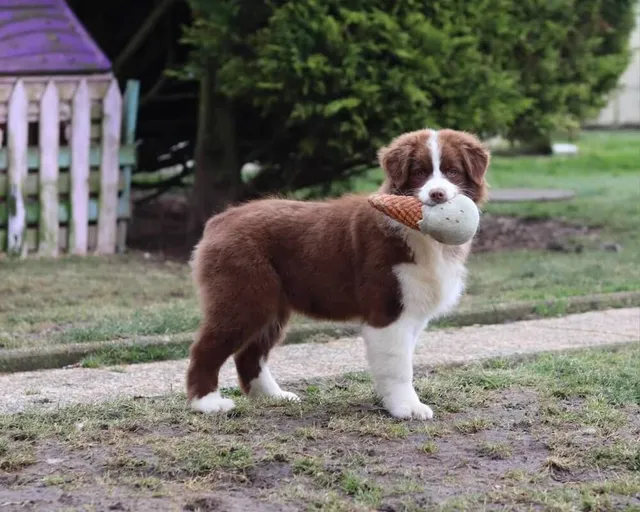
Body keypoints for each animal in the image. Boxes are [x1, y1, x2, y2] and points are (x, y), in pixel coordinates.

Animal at [188, 128, 488, 420]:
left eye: (452, 172)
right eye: (419, 172)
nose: (437, 194)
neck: (420, 234)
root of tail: (220, 220)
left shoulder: (412, 308)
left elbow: (399, 360)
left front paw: (392, 402)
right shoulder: (387, 309)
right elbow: (398, 365)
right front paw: (407, 408)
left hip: (272, 305)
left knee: (250, 355)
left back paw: (272, 397)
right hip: (244, 296)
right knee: (207, 347)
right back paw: (206, 403)